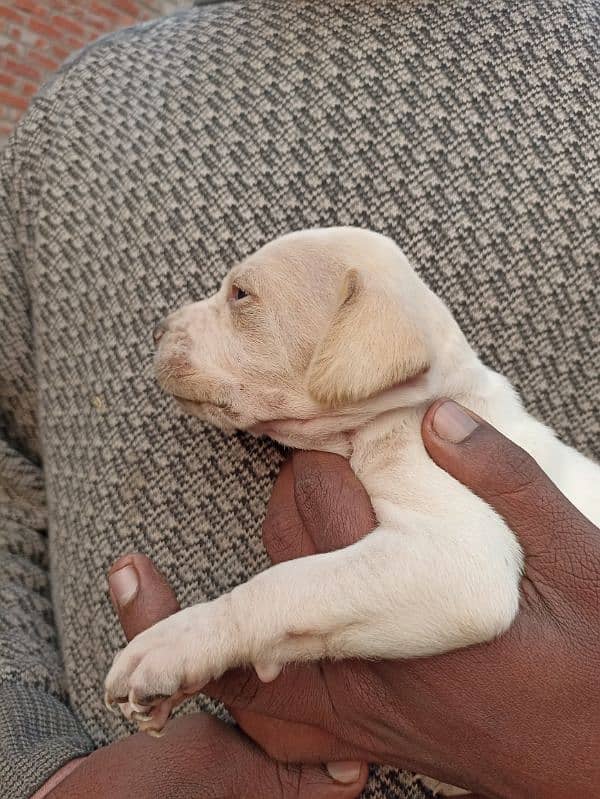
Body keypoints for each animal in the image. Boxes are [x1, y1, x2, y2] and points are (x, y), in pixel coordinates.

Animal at [104, 230, 600, 780]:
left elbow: (285, 584)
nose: (156, 330)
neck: (406, 406)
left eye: (240, 295)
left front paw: (177, 643)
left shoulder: (459, 558)